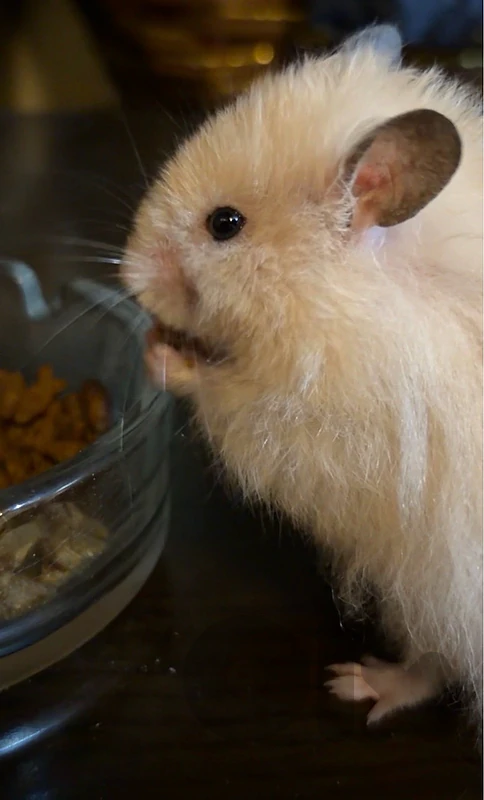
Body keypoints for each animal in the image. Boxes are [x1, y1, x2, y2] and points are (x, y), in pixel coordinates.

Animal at [121, 25, 483, 729]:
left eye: (225, 223)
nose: (127, 278)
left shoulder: (325, 431)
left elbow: (230, 400)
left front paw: (160, 354)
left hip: (434, 584)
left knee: (435, 661)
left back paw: (357, 685)